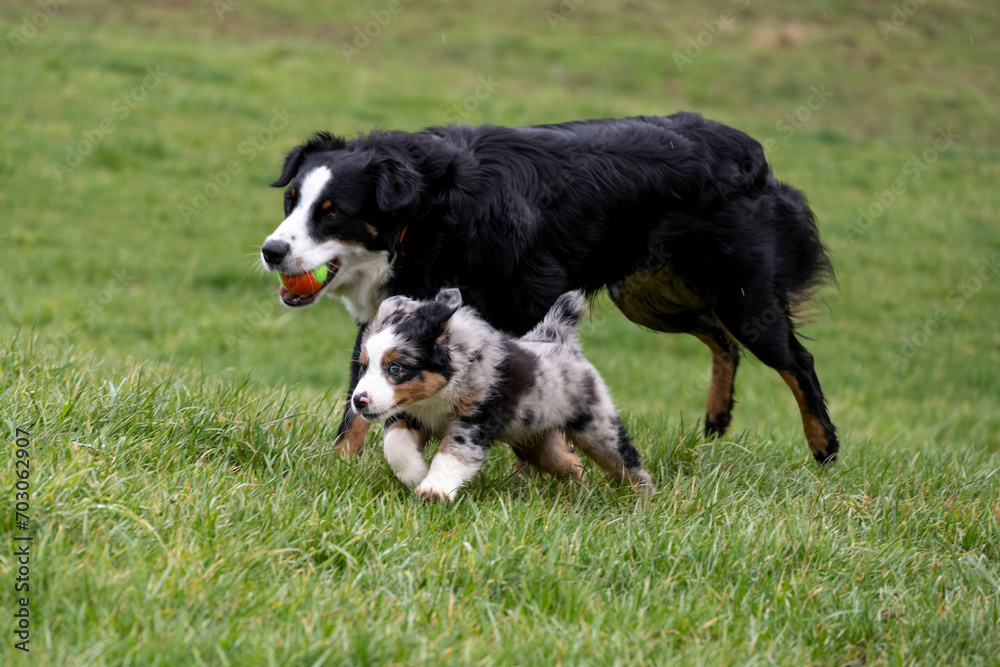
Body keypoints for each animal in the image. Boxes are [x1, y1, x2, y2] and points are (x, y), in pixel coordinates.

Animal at [352, 288, 656, 500]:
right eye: (364, 366)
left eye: (396, 368)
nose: (358, 401)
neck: (439, 395)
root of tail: (557, 337)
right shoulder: (409, 414)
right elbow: (396, 446)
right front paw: (417, 475)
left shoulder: (475, 420)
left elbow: (453, 454)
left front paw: (434, 489)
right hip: (536, 440)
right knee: (571, 463)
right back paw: (578, 493)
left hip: (597, 428)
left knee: (627, 461)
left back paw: (645, 502)